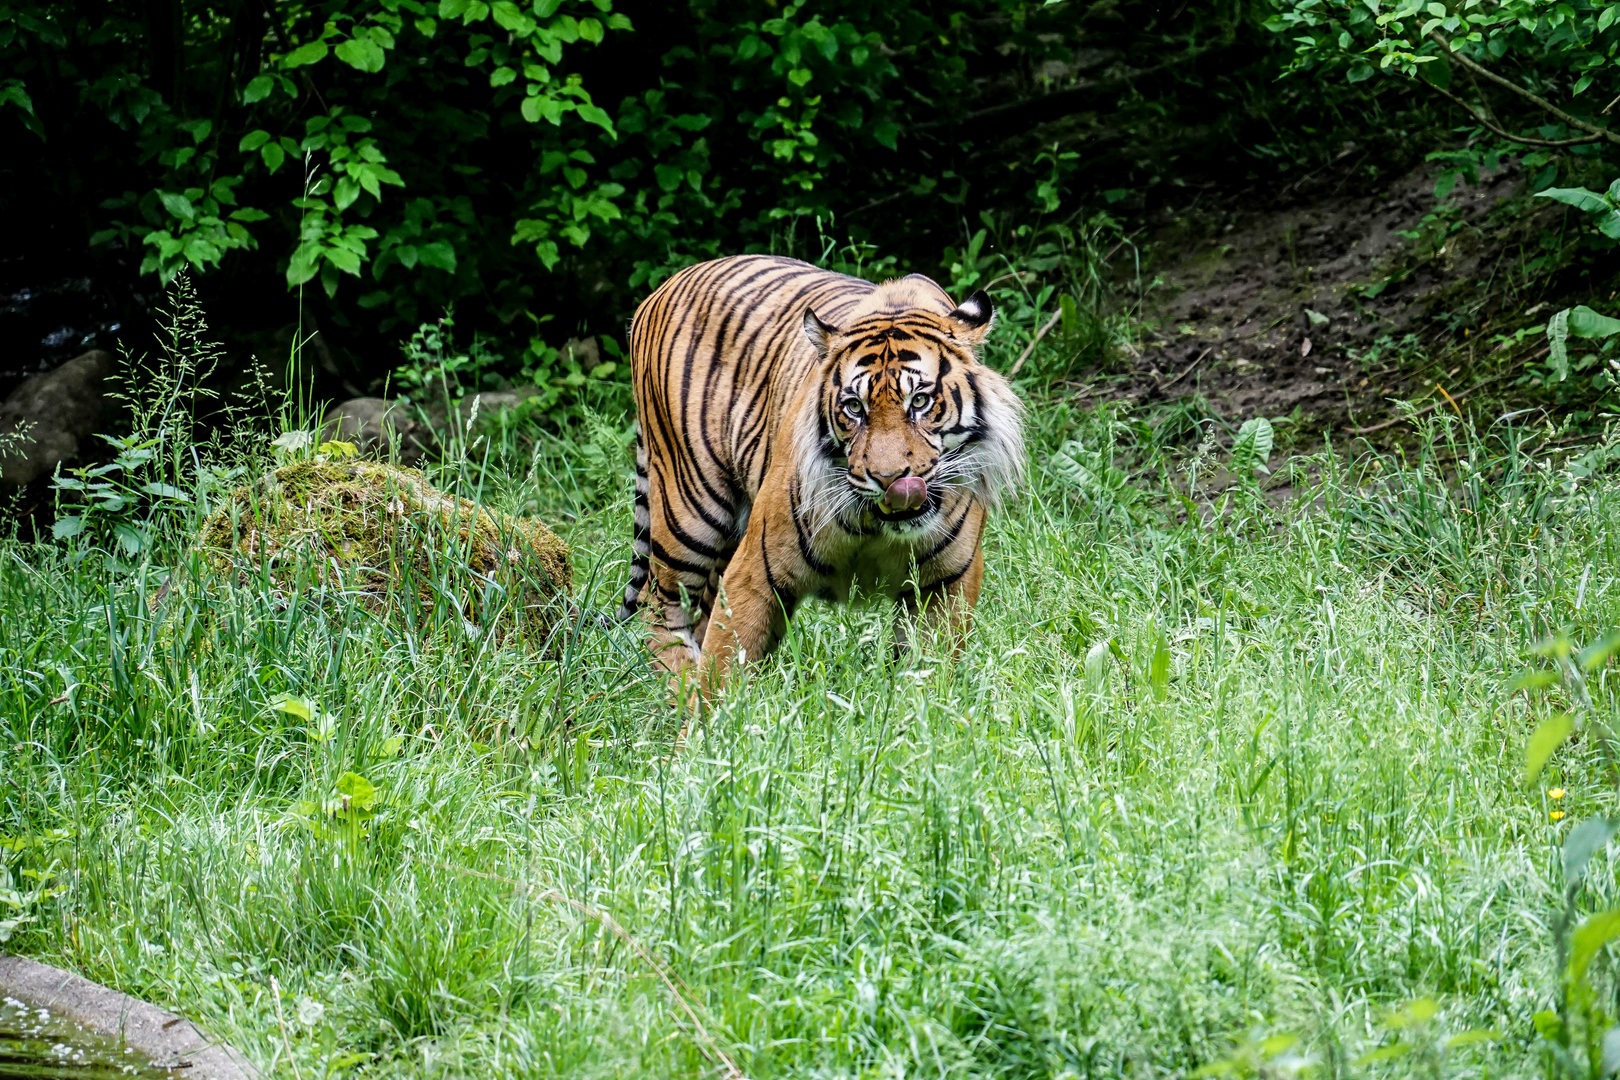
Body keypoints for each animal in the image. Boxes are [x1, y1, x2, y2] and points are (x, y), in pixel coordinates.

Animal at [612, 254, 1017, 693]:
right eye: (854, 407)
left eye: (921, 401)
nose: (890, 479)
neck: (877, 527)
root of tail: (661, 289)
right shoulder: (755, 571)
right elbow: (724, 671)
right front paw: (709, 712)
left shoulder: (944, 584)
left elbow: (929, 677)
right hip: (689, 508)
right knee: (660, 604)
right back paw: (679, 688)